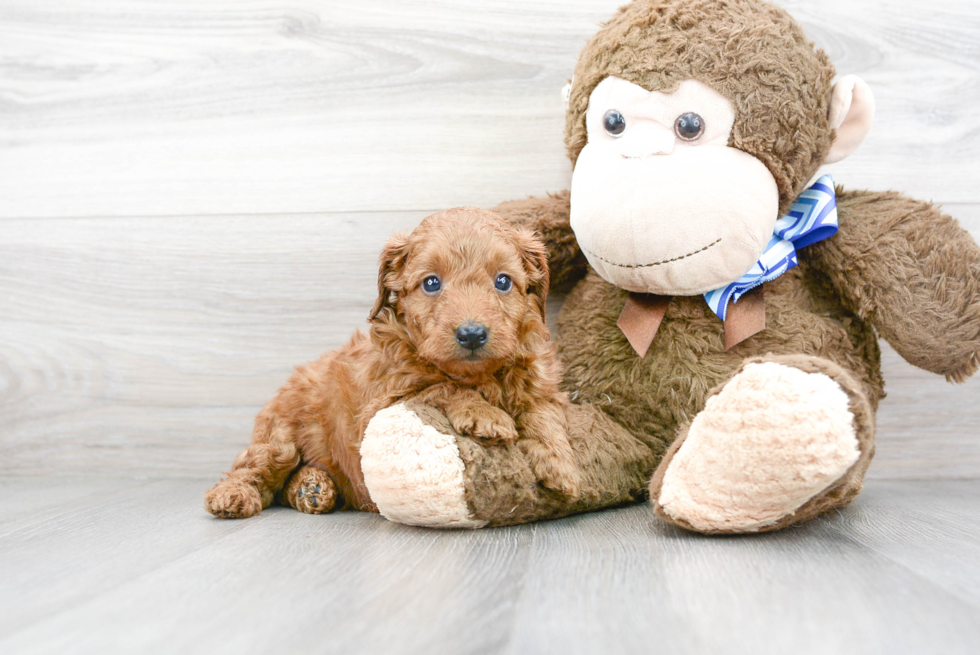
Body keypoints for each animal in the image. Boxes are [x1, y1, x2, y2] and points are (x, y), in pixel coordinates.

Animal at [203, 208, 580, 520]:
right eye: (431, 283)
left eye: (503, 281)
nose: (472, 334)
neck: (477, 375)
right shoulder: (382, 404)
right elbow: (440, 386)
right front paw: (484, 414)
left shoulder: (540, 382)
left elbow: (543, 410)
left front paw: (561, 465)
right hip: (280, 437)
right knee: (256, 469)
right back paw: (232, 495)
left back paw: (311, 488)